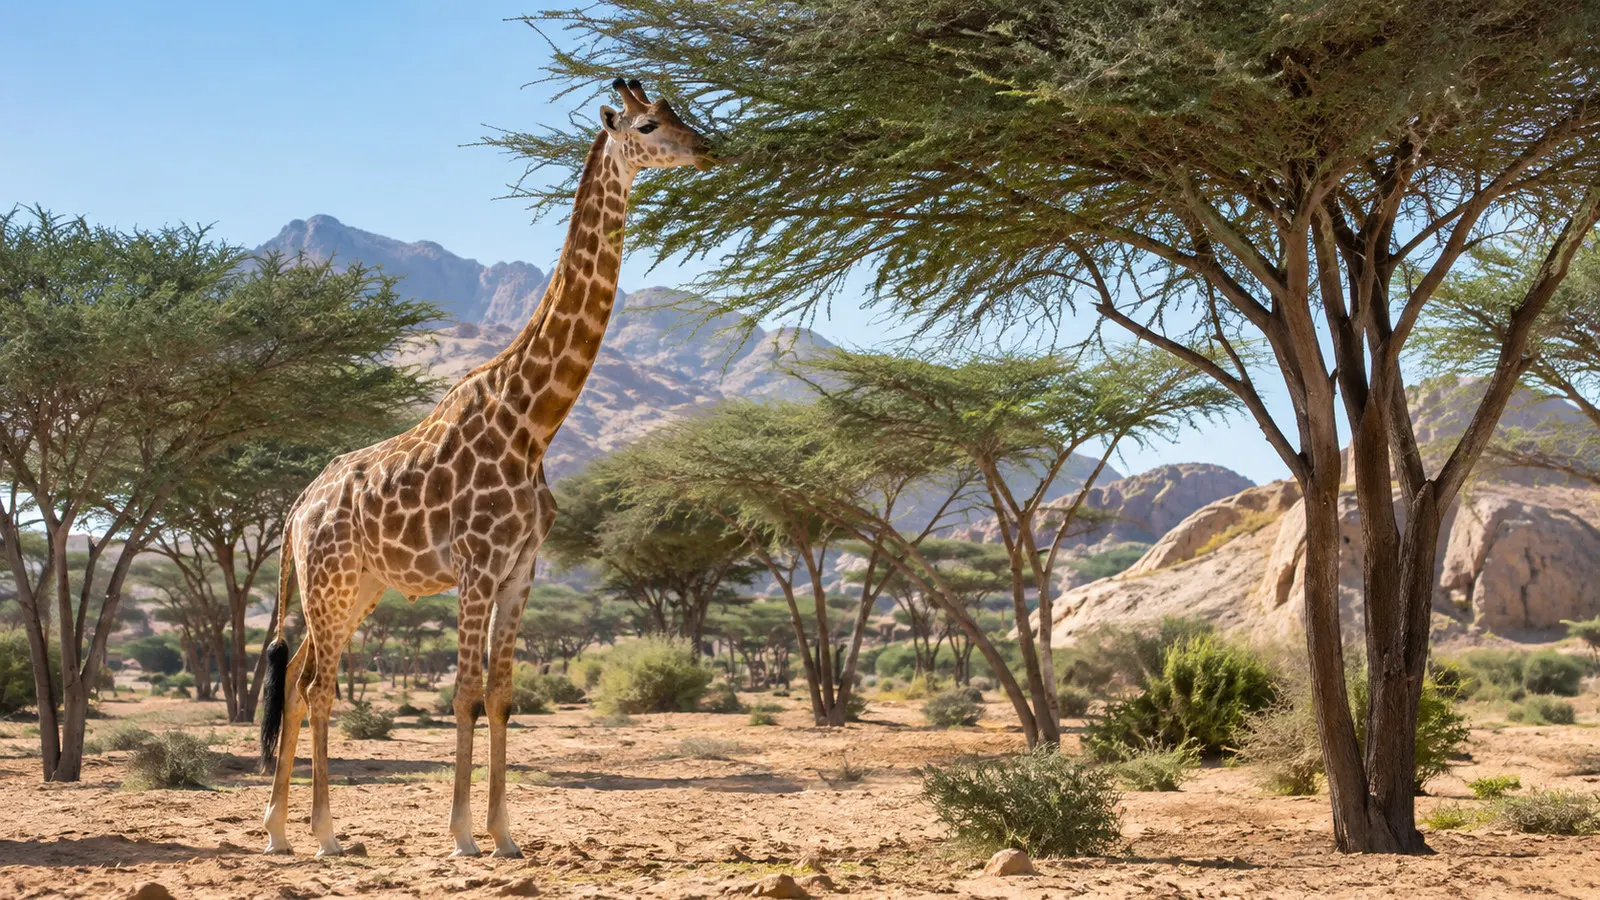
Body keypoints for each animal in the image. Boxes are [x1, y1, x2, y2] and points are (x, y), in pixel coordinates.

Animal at [258, 78, 711, 858]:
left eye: (679, 114)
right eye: (651, 125)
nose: (709, 147)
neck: (533, 422)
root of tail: (295, 509)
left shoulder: (522, 568)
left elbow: (501, 694)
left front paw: (505, 835)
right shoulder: (476, 565)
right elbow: (465, 693)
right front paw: (463, 834)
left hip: (357, 588)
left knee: (298, 678)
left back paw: (280, 830)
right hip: (331, 582)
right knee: (317, 686)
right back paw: (324, 834)